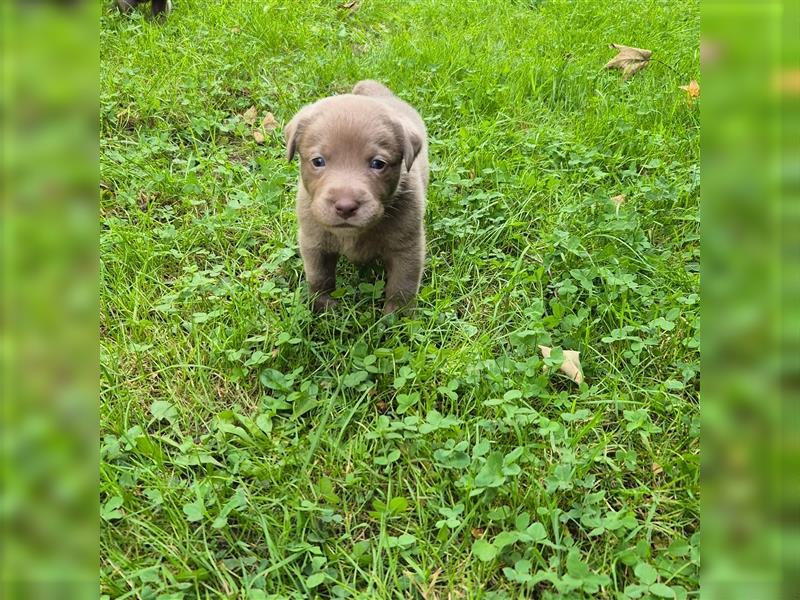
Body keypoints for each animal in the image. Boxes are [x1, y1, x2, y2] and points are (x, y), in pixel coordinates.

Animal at [284, 80, 428, 314]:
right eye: (318, 161)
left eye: (378, 164)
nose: (345, 206)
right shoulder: (313, 242)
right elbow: (319, 278)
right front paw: (324, 308)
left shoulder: (408, 248)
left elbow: (401, 287)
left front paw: (395, 319)